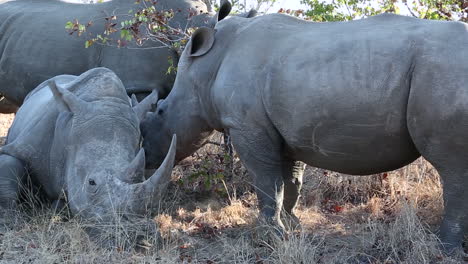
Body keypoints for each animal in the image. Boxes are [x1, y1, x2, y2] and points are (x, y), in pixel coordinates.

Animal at [0, 67, 177, 222]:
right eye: (91, 182)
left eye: (140, 178)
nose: (132, 227)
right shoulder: (24, 146)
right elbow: (9, 165)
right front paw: (8, 220)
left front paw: (57, 206)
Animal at [141, 3, 468, 252]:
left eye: (161, 111)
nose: (147, 160)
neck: (206, 69)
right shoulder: (286, 128)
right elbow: (290, 182)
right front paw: (292, 225)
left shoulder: (247, 126)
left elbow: (267, 182)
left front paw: (272, 236)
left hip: (444, 73)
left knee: (452, 169)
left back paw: (445, 248)